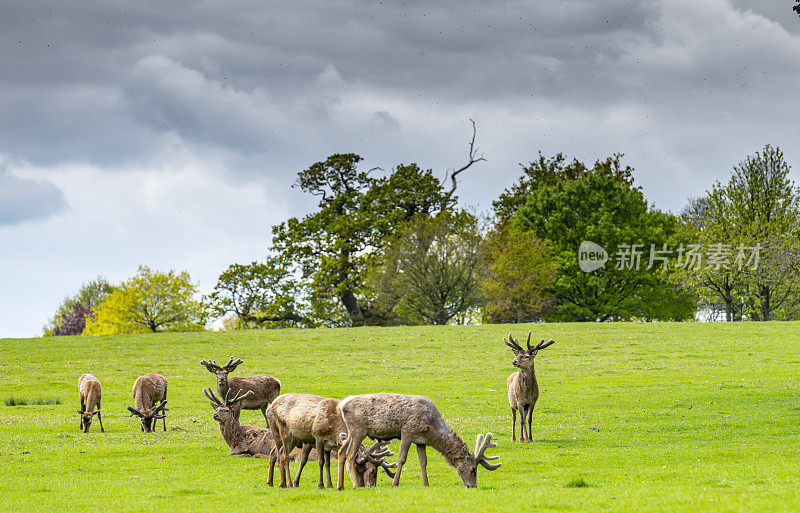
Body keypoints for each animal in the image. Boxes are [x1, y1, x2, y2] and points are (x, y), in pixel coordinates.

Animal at [268, 392, 396, 488]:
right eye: (369, 470)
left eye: (366, 469)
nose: (363, 485)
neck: (334, 426)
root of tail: (271, 405)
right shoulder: (317, 436)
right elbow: (319, 461)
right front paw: (320, 485)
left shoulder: (328, 445)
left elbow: (328, 464)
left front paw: (330, 485)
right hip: (282, 432)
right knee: (283, 455)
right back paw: (287, 483)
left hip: (293, 439)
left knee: (277, 452)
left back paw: (275, 482)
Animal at [336, 392, 500, 488]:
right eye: (473, 469)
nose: (473, 486)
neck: (432, 429)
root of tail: (342, 405)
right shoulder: (407, 431)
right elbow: (402, 459)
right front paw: (395, 483)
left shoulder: (420, 440)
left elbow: (423, 462)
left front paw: (426, 484)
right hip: (358, 429)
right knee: (350, 454)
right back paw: (356, 485)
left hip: (350, 432)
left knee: (341, 451)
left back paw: (340, 486)